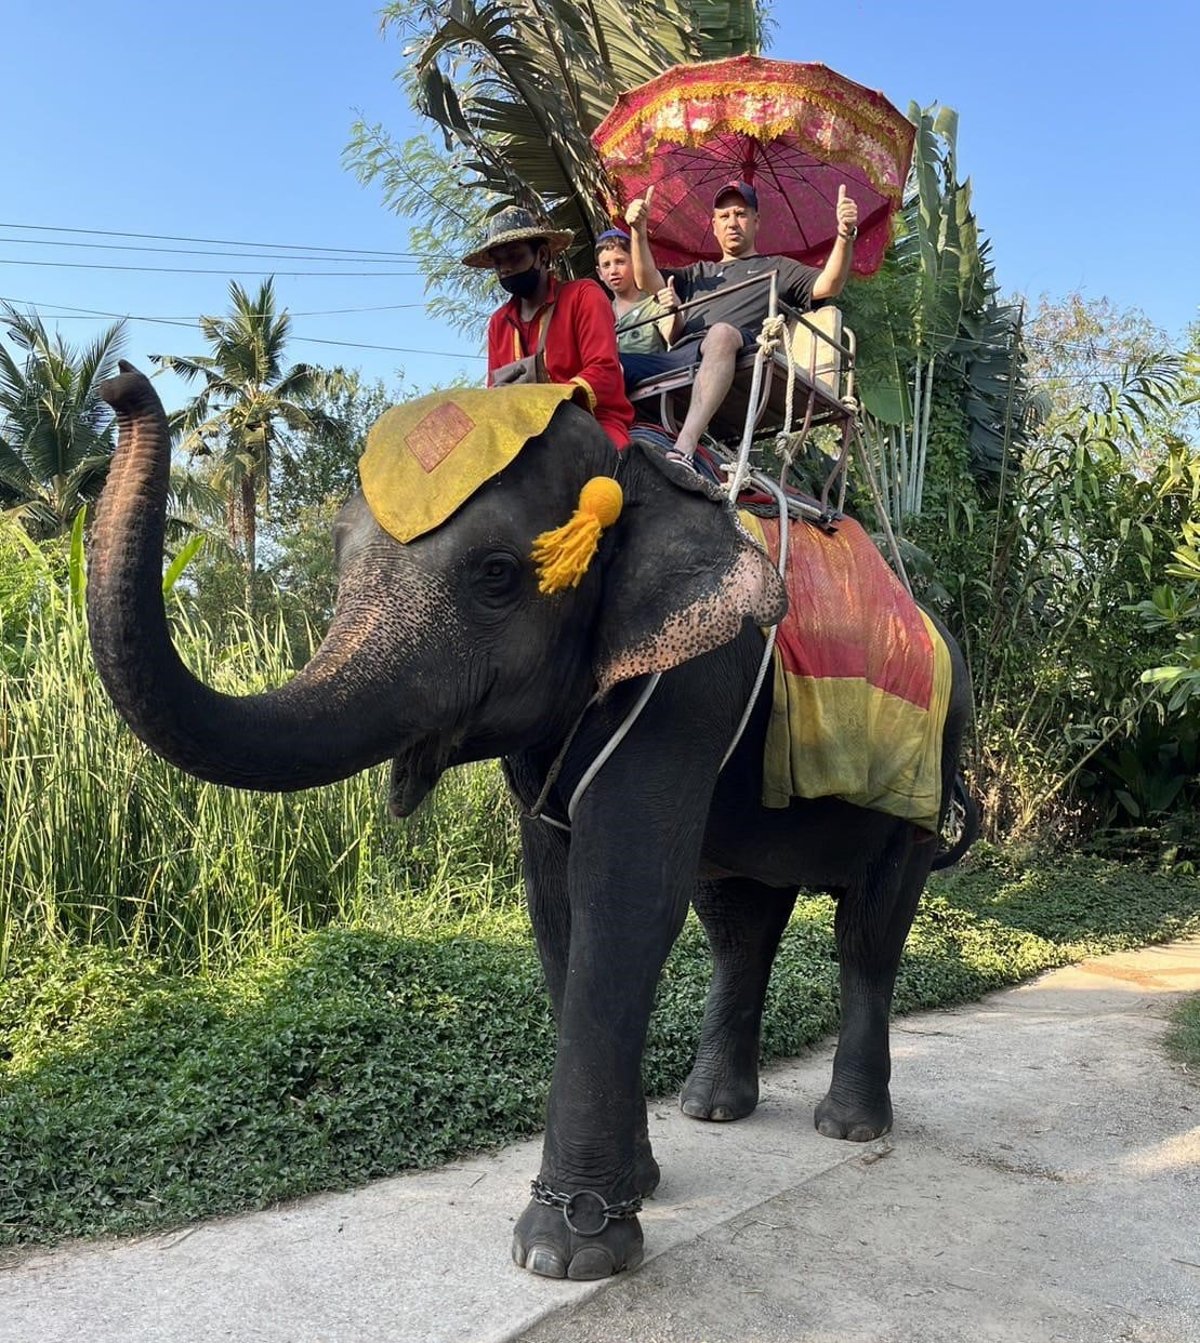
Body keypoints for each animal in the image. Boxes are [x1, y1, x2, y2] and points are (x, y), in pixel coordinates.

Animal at [91, 365, 977, 1278]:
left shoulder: (693, 682)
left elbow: (625, 900)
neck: (637, 471)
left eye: (495, 573)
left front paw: (565, 1251)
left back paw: (849, 1125)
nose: (120, 384)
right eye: (338, 562)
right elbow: (559, 908)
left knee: (867, 929)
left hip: (927, 770)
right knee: (739, 921)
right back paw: (711, 1108)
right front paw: (639, 1187)